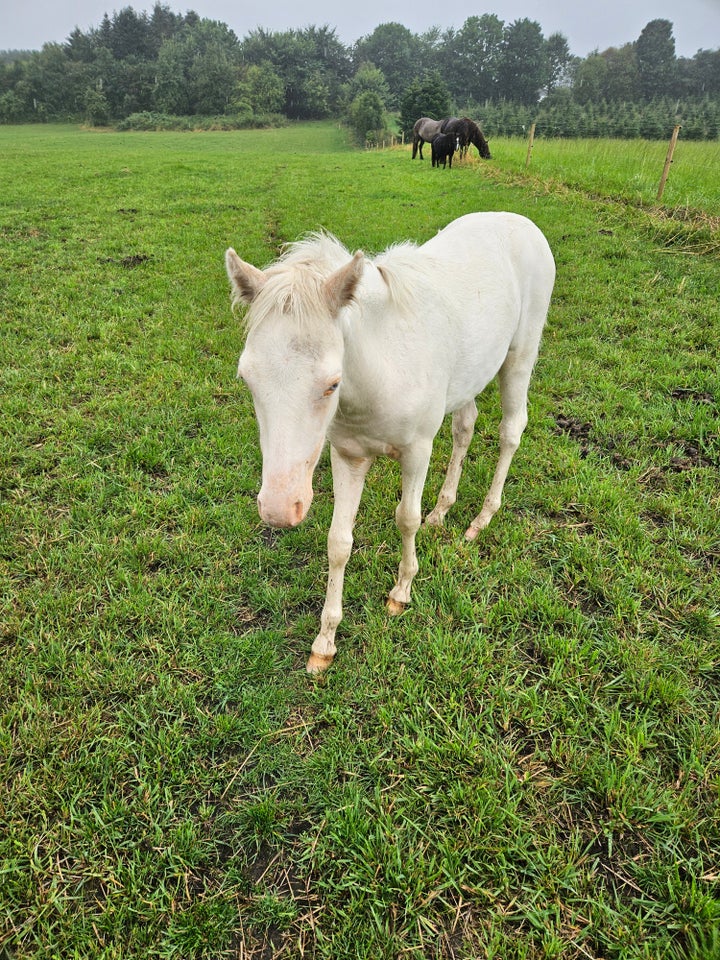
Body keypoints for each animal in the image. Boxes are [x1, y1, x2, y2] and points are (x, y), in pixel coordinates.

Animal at [228, 213, 556, 672]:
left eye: (332, 383)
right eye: (247, 378)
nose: (278, 509)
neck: (380, 372)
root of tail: (520, 221)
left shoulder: (418, 450)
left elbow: (406, 518)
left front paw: (400, 593)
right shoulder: (347, 455)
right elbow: (339, 542)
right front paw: (324, 644)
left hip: (520, 356)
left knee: (511, 431)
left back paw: (480, 520)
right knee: (465, 426)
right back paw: (442, 511)